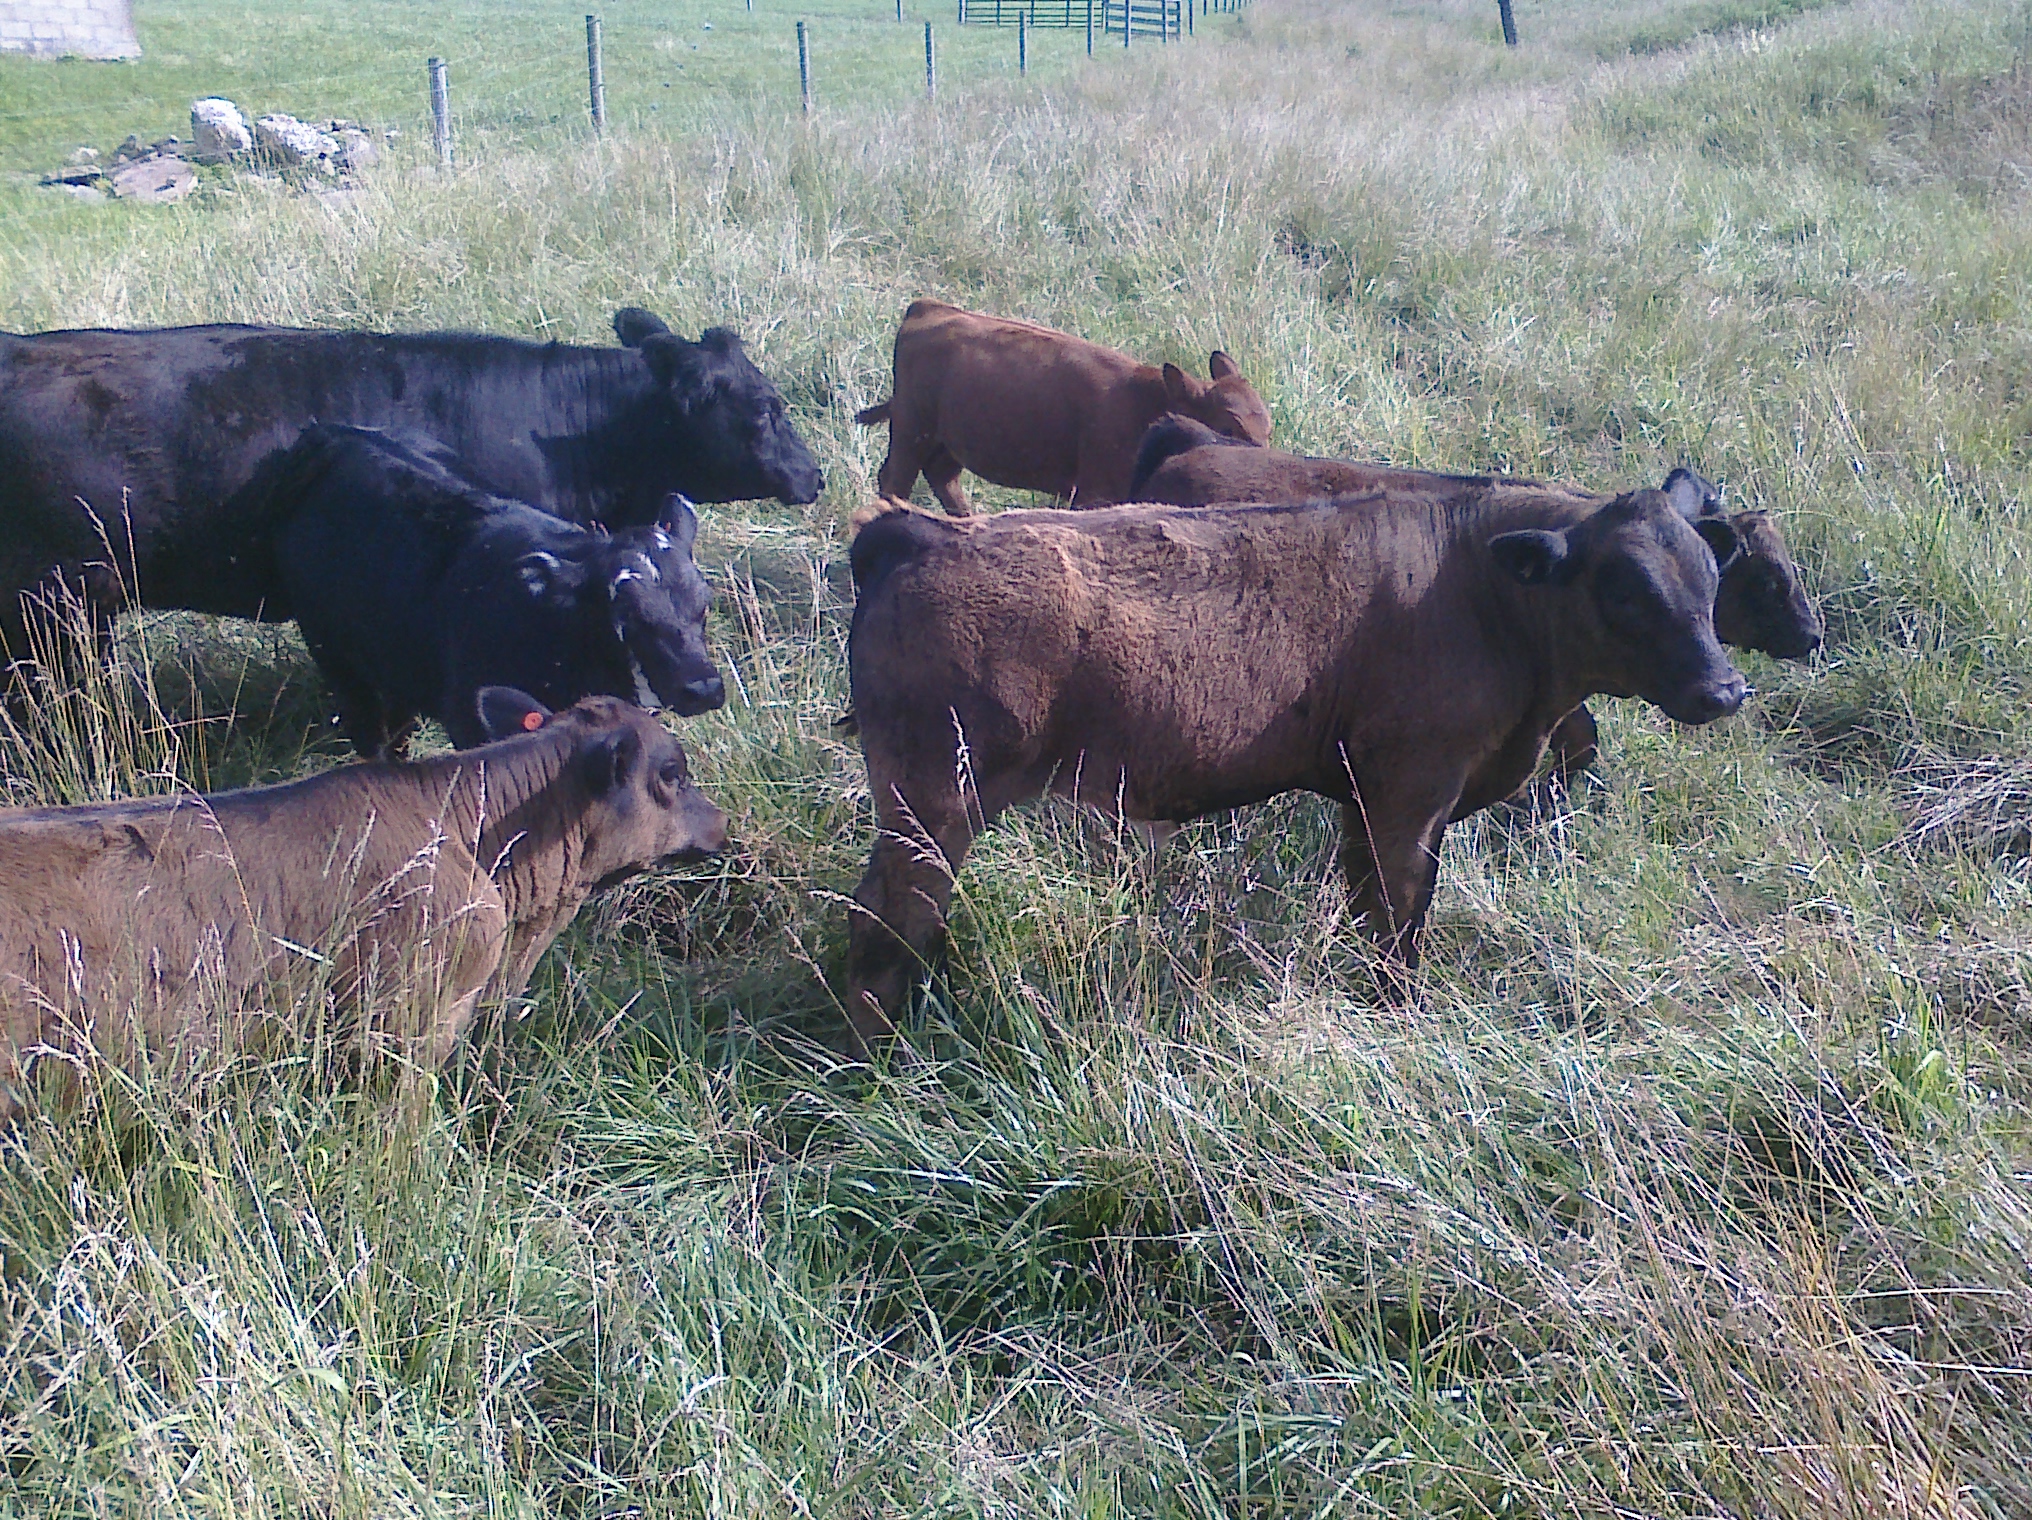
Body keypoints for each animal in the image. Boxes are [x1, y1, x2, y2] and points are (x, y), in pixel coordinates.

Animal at [258, 424, 726, 757]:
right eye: (629, 618)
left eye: (703, 607)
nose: (703, 688)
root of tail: (339, 434)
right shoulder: (469, 717)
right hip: (335, 656)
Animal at [840, 479, 1748, 1053]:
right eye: (1624, 590)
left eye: (1712, 577)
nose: (1726, 688)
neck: (1483, 594)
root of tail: (923, 532)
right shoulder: (1408, 799)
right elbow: (1399, 922)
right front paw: (1398, 1013)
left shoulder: (1363, 799)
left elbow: (1369, 906)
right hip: (934, 804)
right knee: (888, 921)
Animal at [853, 298, 1272, 515]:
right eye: (1229, 426)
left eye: (1267, 427)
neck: (1146, 404)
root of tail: (929, 307)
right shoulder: (1094, 491)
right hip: (911, 430)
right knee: (895, 481)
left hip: (946, 439)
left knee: (942, 478)